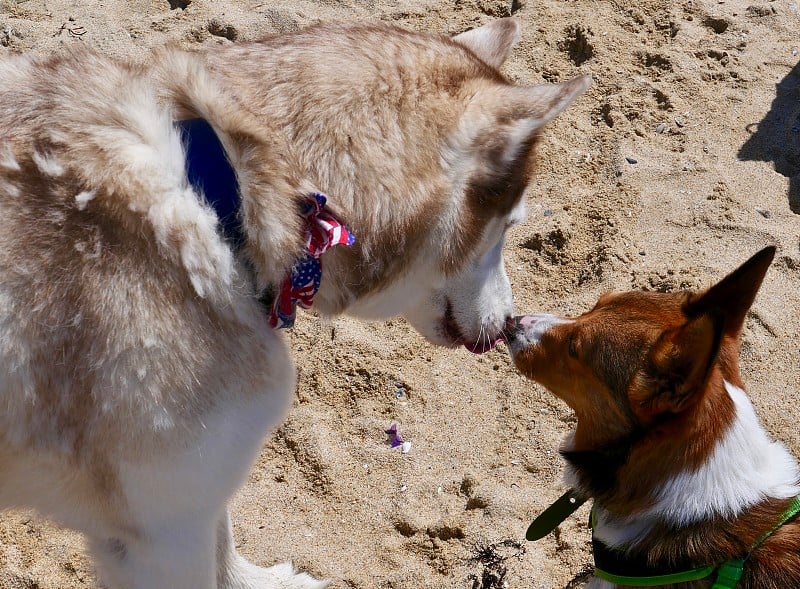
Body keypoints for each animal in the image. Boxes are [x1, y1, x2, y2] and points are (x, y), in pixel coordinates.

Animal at [0, 16, 588, 588]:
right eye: (509, 226)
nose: (510, 322)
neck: (225, 198)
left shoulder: (195, 496)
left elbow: (224, 545)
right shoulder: (163, 527)